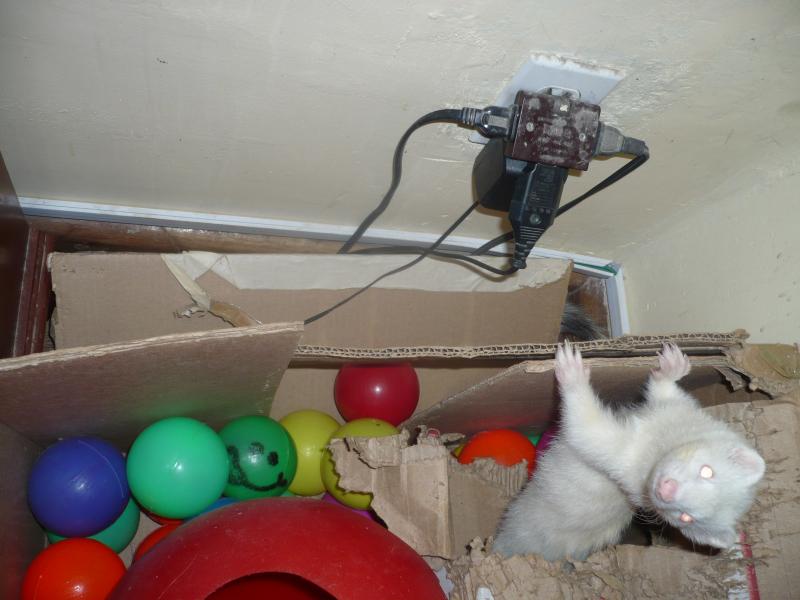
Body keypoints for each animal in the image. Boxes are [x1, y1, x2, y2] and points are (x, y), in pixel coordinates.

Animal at [492, 342, 766, 561]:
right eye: (708, 472)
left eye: (686, 517)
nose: (666, 491)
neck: (654, 437)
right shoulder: (674, 407)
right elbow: (664, 390)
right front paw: (674, 364)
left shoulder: (619, 456)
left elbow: (585, 430)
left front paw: (572, 372)